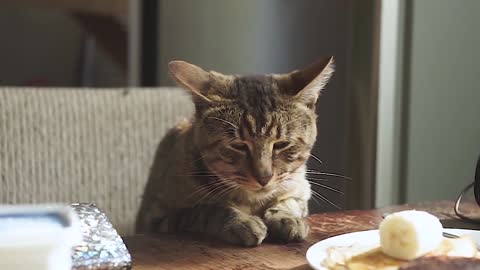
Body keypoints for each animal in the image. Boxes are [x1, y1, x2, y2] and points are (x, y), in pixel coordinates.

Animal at [136, 57, 334, 247]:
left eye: (281, 144)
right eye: (239, 145)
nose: (264, 178)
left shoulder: (299, 188)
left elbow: (290, 202)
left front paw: (287, 218)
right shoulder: (159, 218)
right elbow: (208, 210)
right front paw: (242, 221)